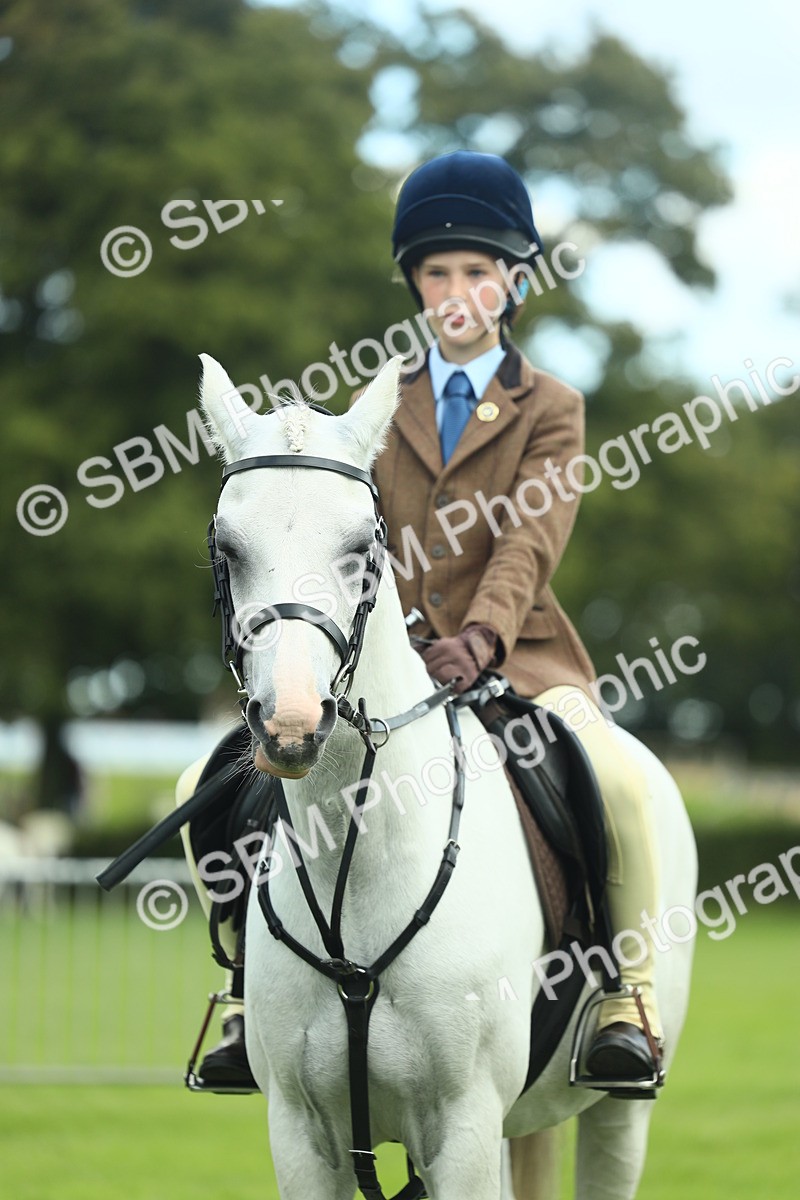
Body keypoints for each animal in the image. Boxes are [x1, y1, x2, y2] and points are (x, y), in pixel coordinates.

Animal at [198, 352, 697, 1200]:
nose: (290, 723)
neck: (358, 869)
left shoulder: (462, 1128)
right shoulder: (301, 1135)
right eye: (227, 549)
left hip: (613, 1112)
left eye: (361, 548)